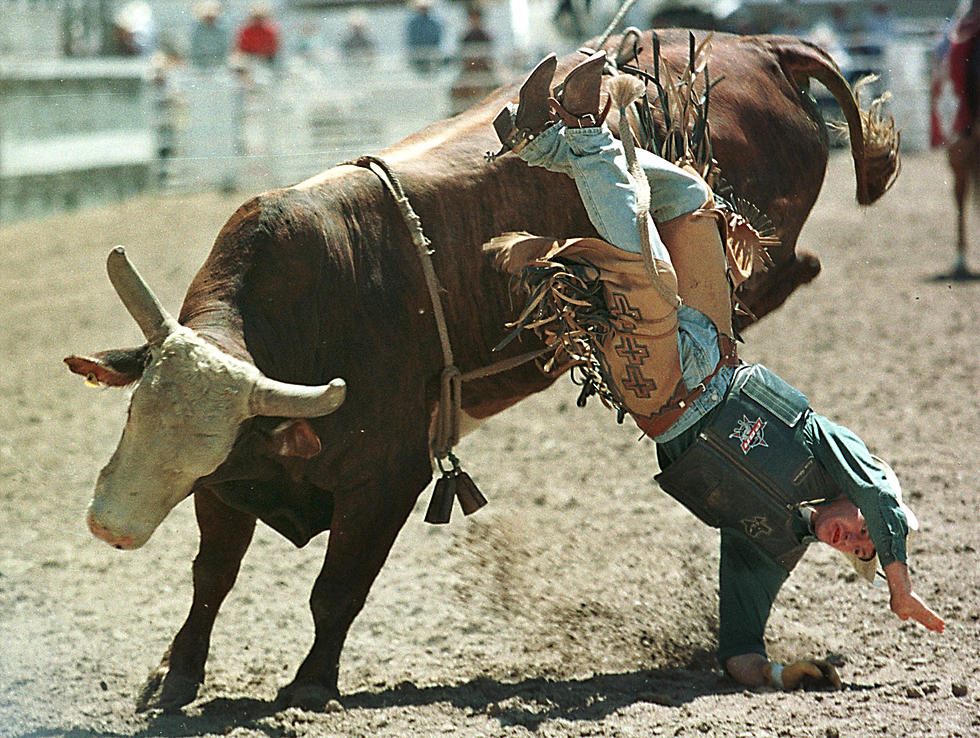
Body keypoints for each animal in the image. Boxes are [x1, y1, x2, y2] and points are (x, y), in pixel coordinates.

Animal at [65, 31, 900, 712]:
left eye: (207, 436)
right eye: (135, 413)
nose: (109, 522)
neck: (316, 307)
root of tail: (759, 47)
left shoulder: (386, 480)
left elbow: (336, 591)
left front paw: (310, 685)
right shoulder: (230, 482)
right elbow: (211, 577)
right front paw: (173, 678)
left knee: (779, 262)